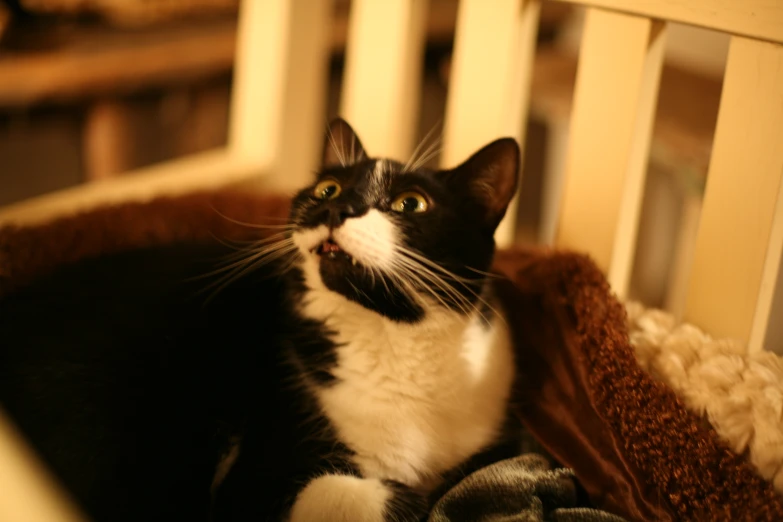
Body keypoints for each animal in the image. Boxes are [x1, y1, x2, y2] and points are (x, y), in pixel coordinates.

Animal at [4, 119, 528, 520]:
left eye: (411, 203)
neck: (391, 336)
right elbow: (367, 496)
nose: (336, 206)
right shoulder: (256, 483)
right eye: (327, 188)